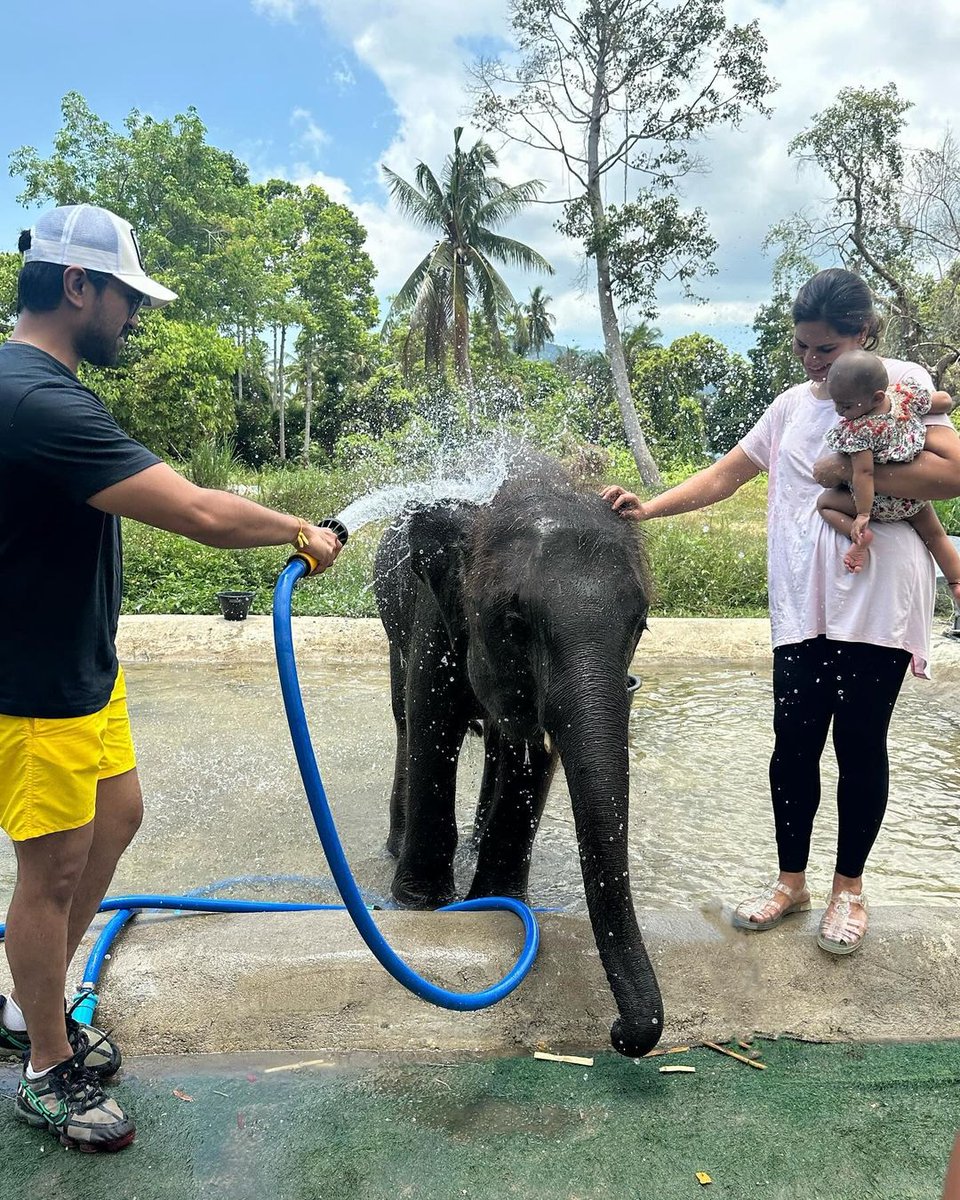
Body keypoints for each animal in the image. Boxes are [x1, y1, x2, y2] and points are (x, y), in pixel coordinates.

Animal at [372, 453, 662, 1056]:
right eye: (513, 623)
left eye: (640, 624)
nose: (620, 1033)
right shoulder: (434, 620)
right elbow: (433, 725)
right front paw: (422, 906)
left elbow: (536, 752)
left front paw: (498, 901)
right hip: (393, 633)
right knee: (406, 722)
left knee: (499, 743)